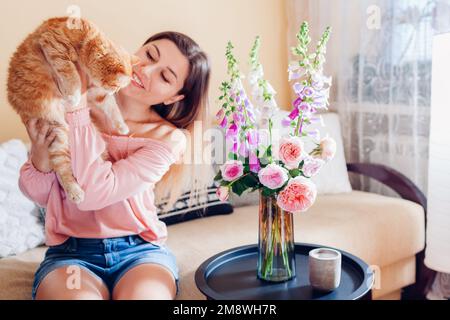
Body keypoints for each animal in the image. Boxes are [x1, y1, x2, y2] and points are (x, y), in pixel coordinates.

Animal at [7, 16, 139, 204]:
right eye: (116, 86)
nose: (115, 91)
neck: (87, 40)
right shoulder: (55, 46)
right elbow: (70, 74)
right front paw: (73, 95)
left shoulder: (94, 91)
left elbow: (111, 106)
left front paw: (122, 127)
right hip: (55, 130)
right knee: (62, 169)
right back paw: (75, 193)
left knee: (62, 167)